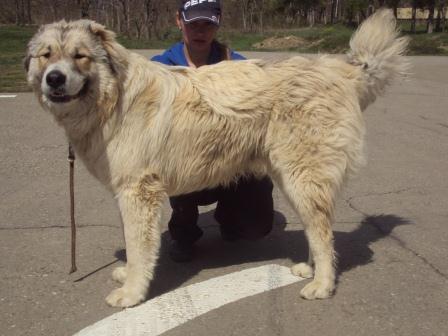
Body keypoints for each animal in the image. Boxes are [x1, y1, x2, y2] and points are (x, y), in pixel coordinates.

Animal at [25, 9, 410, 308]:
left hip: (301, 177)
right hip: (291, 179)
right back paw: (310, 270)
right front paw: (128, 277)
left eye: (80, 56)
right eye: (46, 55)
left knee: (323, 233)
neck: (114, 96)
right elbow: (133, 243)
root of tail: (342, 71)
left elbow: (138, 247)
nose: (54, 79)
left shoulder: (138, 192)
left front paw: (132, 293)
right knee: (318, 229)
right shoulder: (130, 192)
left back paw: (321, 285)